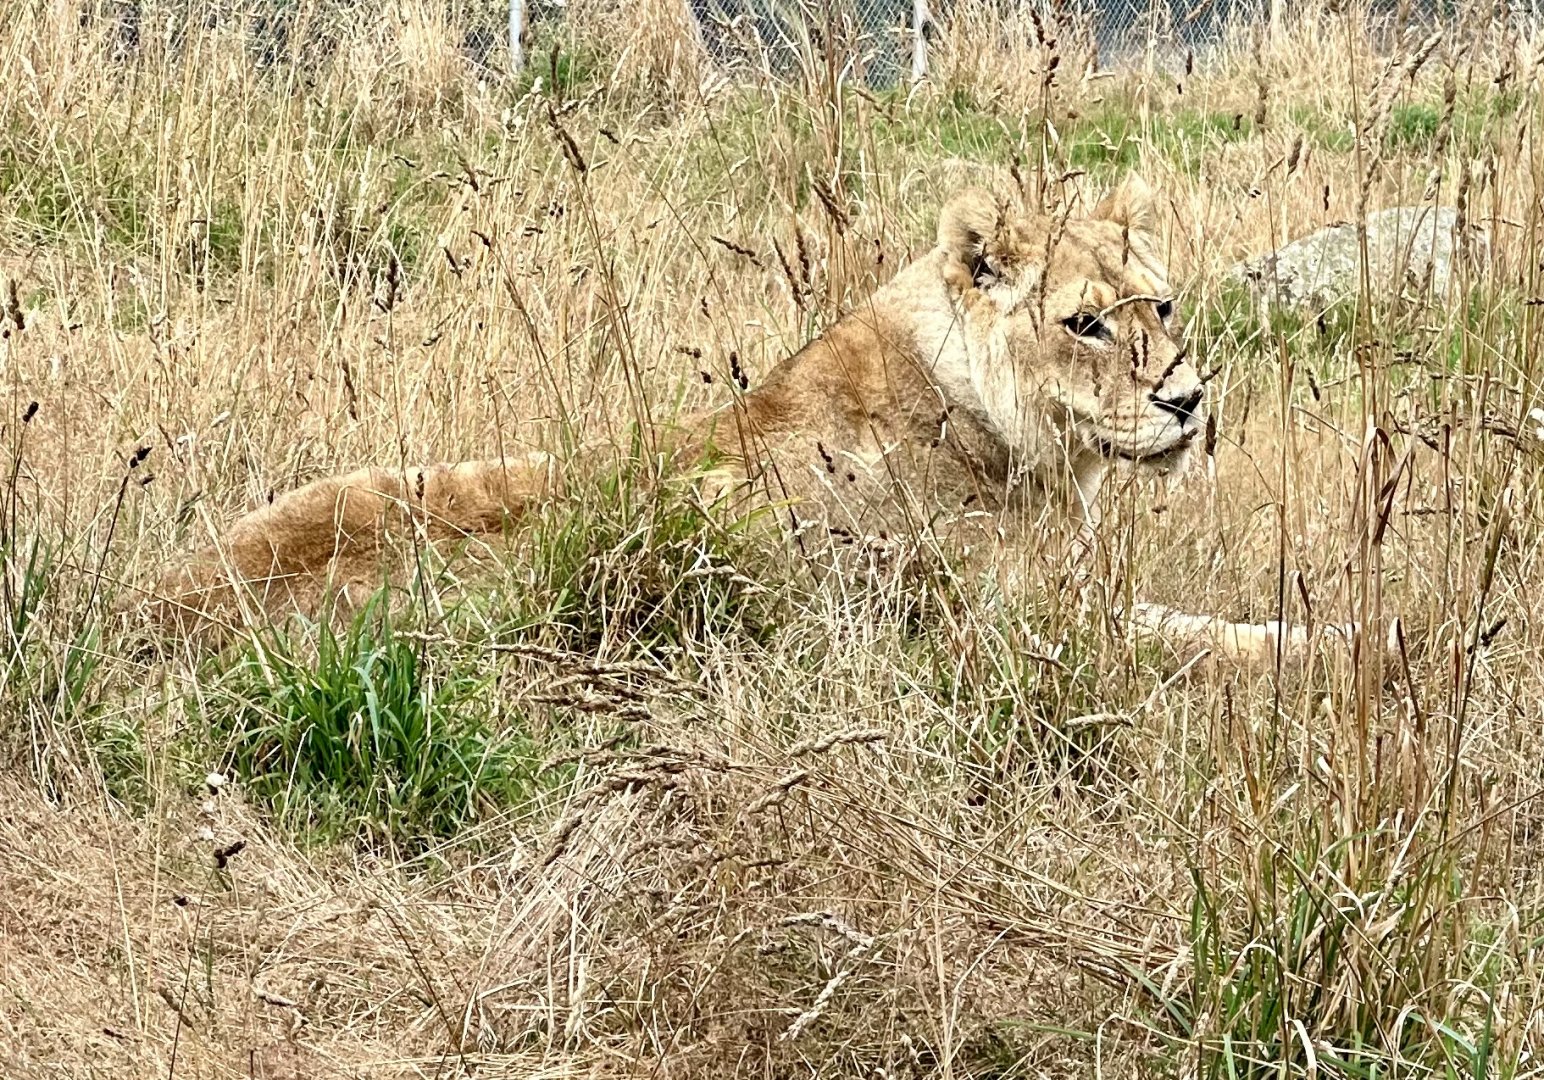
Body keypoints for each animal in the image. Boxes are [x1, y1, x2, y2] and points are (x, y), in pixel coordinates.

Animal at [138, 175, 1355, 665]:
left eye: (1161, 305)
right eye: (1086, 324)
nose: (1186, 400)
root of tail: (154, 608)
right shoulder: (1025, 628)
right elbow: (1222, 646)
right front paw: (1359, 652)